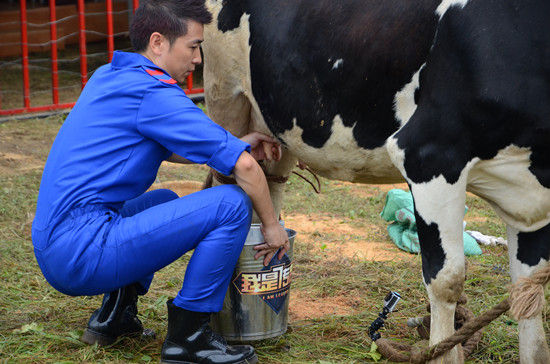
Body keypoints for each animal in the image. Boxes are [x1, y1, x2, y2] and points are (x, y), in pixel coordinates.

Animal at [203, 1, 550, 362]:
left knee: (268, 193)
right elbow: (448, 279)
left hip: (276, 127)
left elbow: (530, 286)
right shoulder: (429, 155)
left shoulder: (532, 192)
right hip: (224, 95)